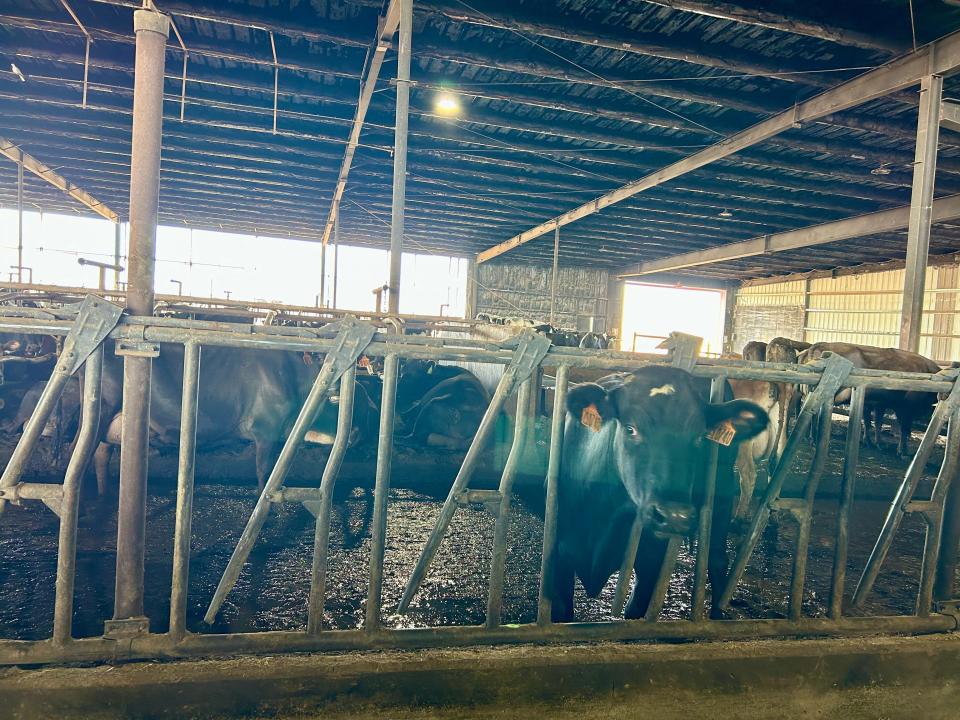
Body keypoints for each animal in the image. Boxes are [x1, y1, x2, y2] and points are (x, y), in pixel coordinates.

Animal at [548, 368, 764, 620]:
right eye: (630, 429)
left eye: (700, 436)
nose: (674, 516)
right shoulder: (561, 555)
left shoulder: (651, 562)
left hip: (722, 496)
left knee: (717, 559)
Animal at [796, 344, 936, 456]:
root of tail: (817, 345)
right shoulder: (906, 407)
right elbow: (904, 429)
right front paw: (902, 451)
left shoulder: (878, 404)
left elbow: (874, 423)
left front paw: (874, 442)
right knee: (813, 414)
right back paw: (813, 439)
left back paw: (807, 437)